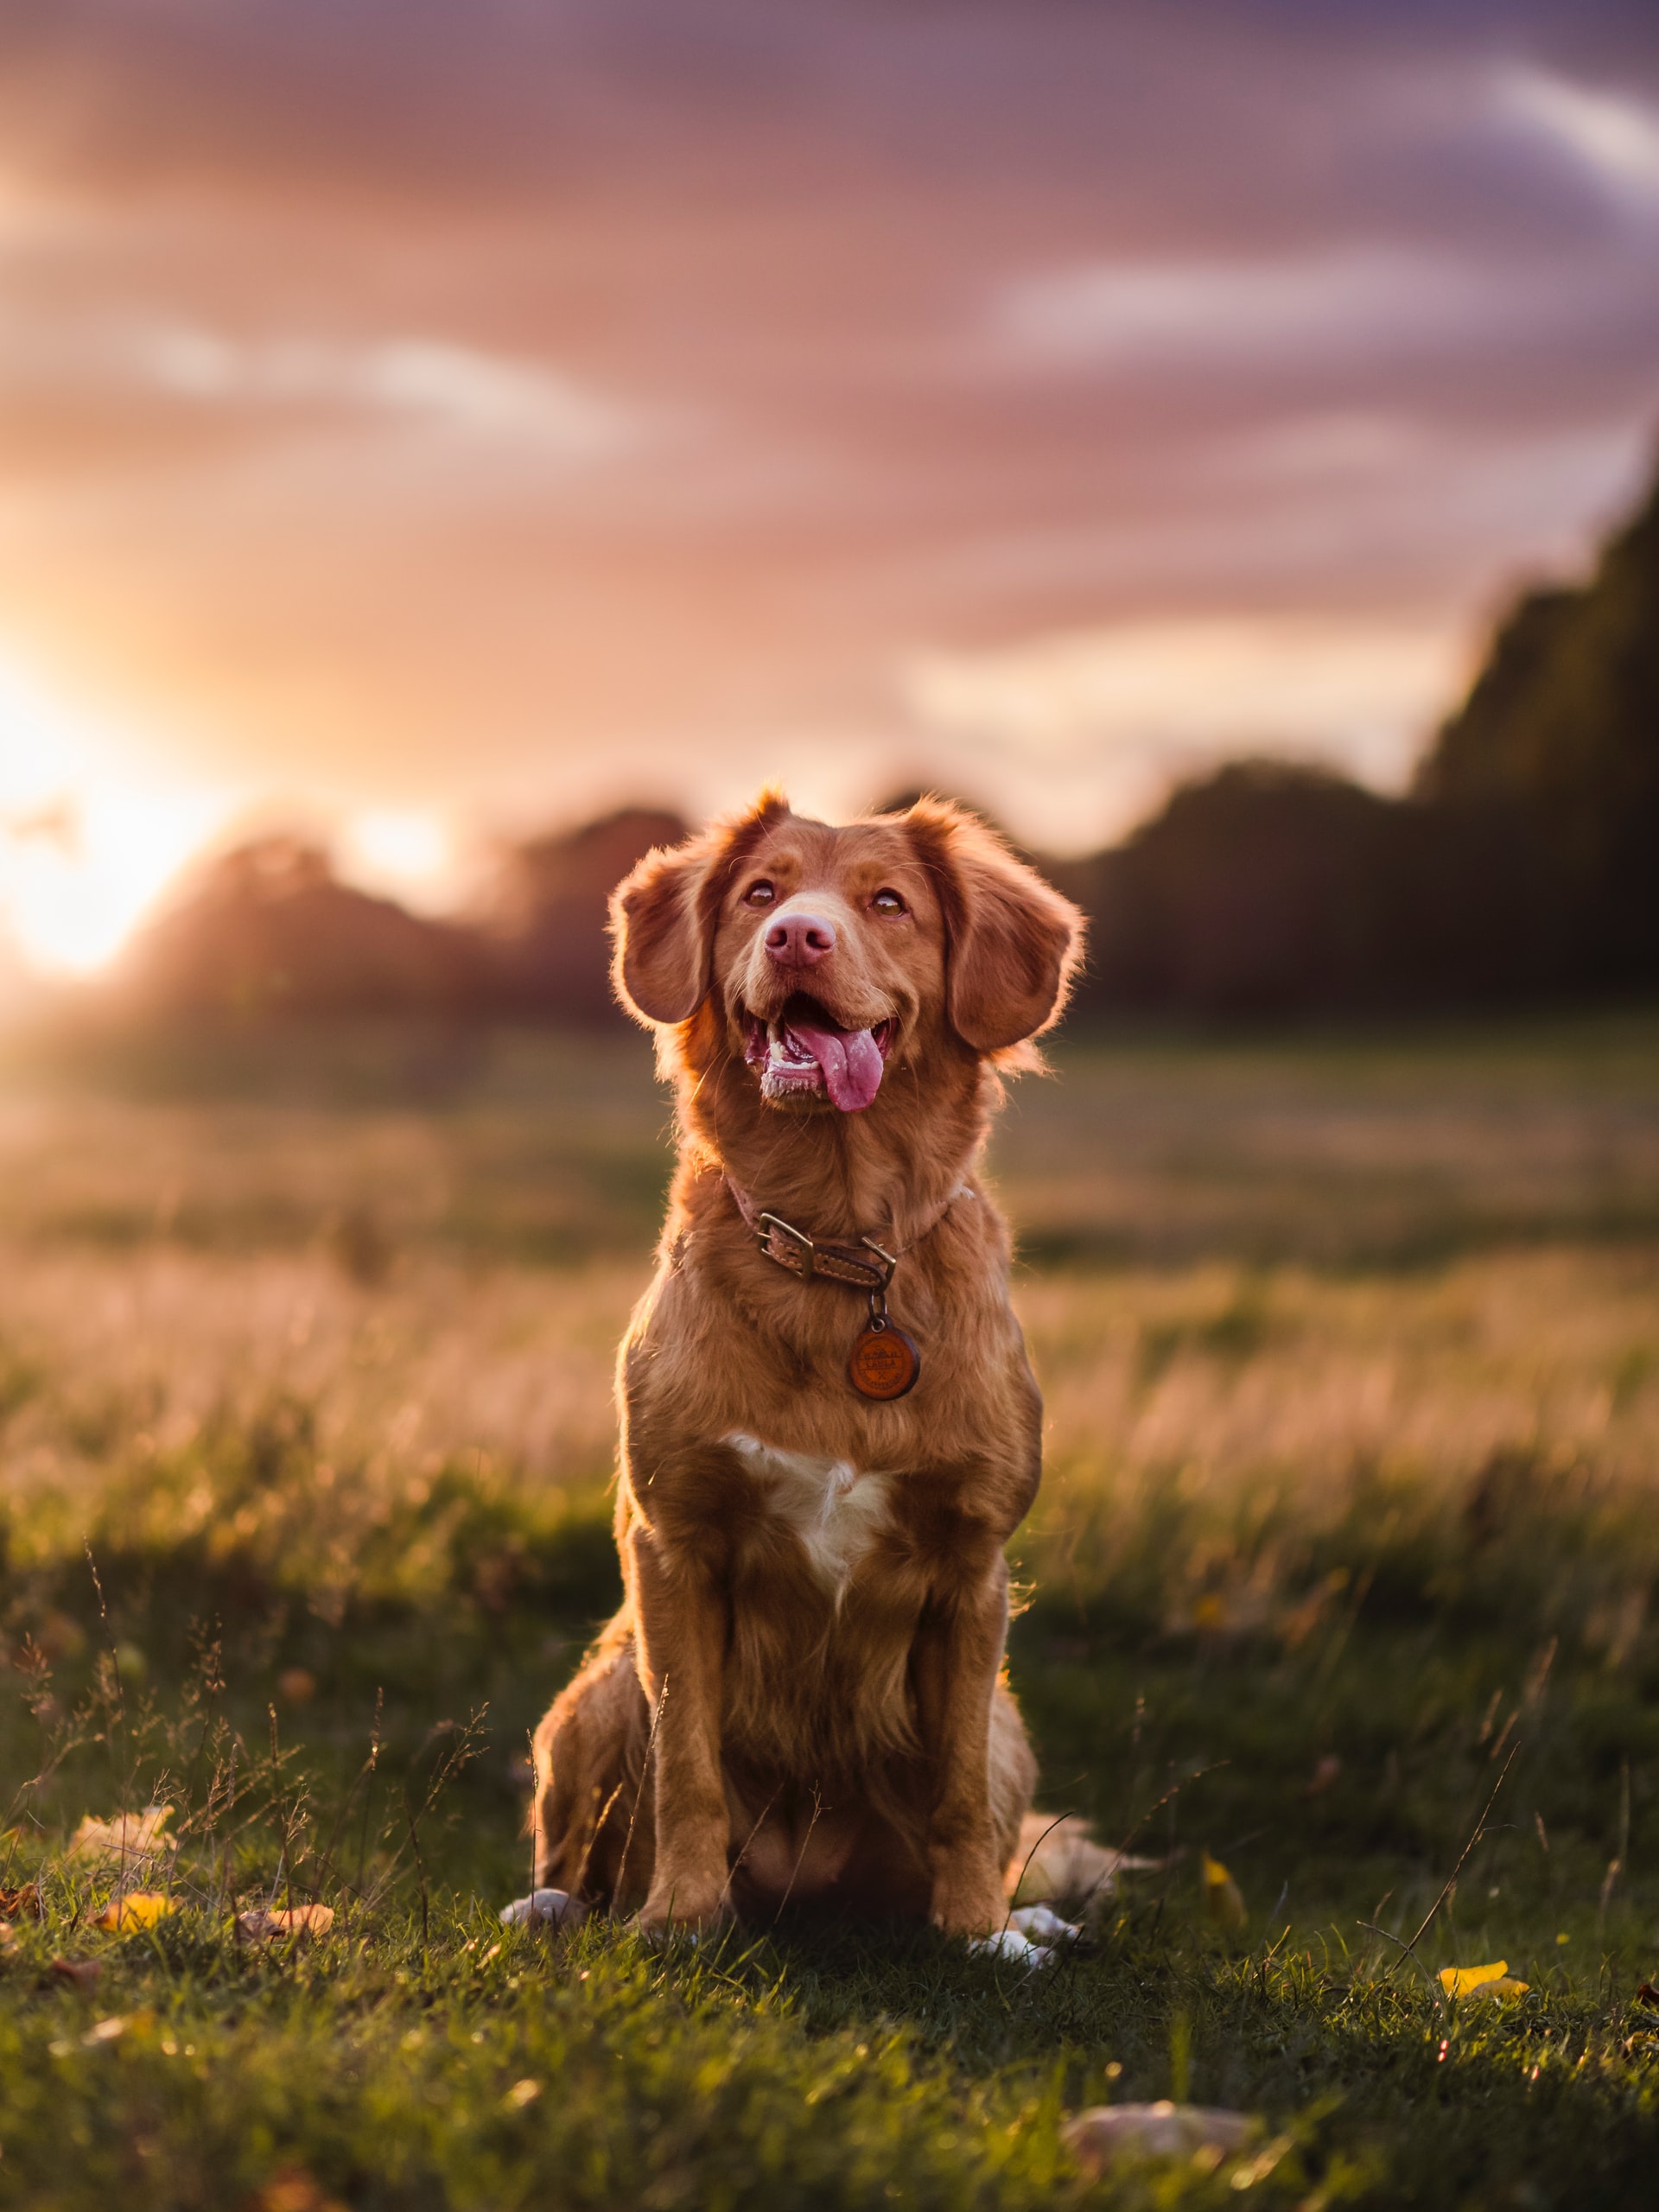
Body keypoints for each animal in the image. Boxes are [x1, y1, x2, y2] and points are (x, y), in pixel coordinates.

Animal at [526, 796, 1084, 1937]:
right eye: (760, 894)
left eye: (890, 902)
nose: (797, 938)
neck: (836, 1248)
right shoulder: (674, 1548)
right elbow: (685, 1764)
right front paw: (679, 1916)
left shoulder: (973, 1568)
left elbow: (960, 1789)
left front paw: (975, 1933)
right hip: (596, 1688)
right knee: (574, 1842)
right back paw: (557, 1906)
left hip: (1012, 1724)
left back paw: (1024, 1924)